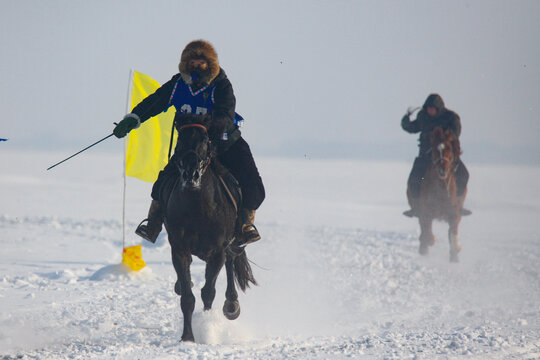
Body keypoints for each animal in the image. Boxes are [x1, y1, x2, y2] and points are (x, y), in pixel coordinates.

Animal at [159, 114, 256, 342]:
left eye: (204, 139)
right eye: (180, 138)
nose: (191, 174)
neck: (198, 207)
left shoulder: (217, 251)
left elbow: (208, 292)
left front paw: (207, 326)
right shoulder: (179, 249)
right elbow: (187, 297)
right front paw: (188, 337)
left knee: (231, 262)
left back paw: (231, 305)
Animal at [408, 126, 466, 262]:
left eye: (449, 148)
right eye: (434, 149)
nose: (442, 169)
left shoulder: (453, 214)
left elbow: (453, 235)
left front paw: (456, 253)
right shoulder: (425, 213)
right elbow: (427, 233)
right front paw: (429, 242)